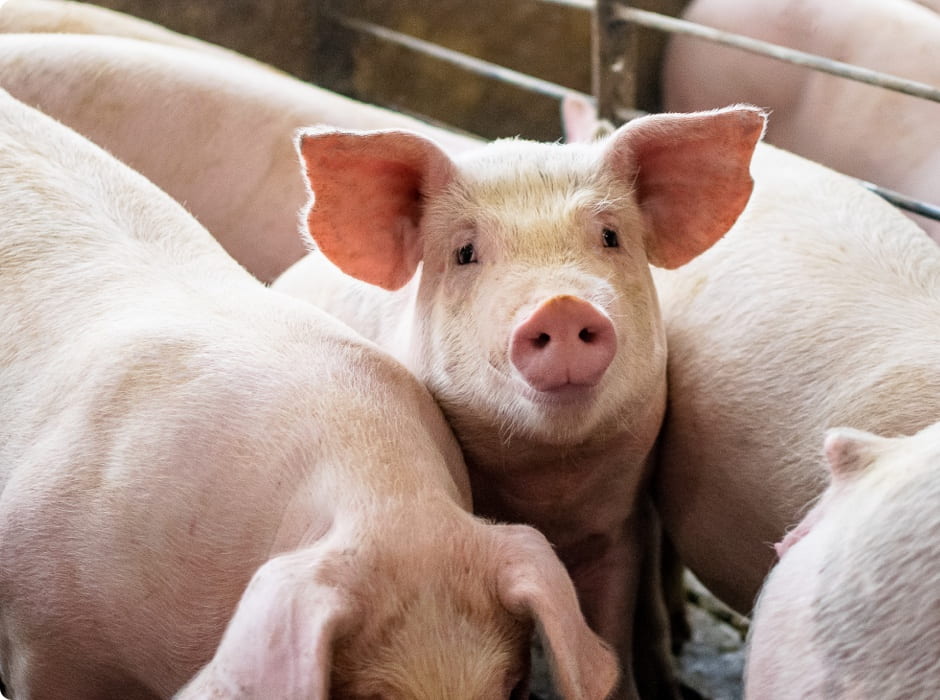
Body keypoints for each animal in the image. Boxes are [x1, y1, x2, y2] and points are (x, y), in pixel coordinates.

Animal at [272, 106, 766, 698]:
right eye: (464, 253)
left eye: (610, 236)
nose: (562, 304)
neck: (549, 482)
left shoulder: (617, 528)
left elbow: (609, 629)